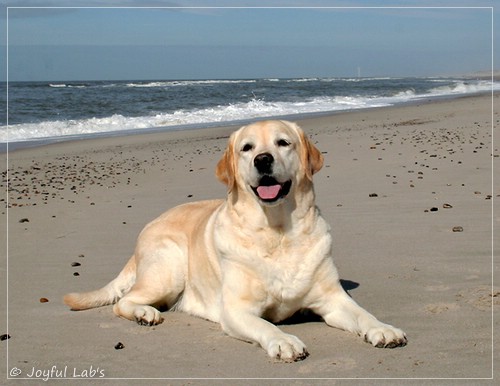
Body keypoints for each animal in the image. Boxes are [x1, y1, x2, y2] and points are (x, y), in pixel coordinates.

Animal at [63, 119, 406, 360]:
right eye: (247, 148)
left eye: (283, 143)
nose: (263, 160)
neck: (278, 232)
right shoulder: (237, 310)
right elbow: (265, 325)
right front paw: (284, 341)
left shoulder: (334, 300)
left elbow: (362, 314)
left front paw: (383, 328)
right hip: (168, 267)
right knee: (124, 301)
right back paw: (145, 314)